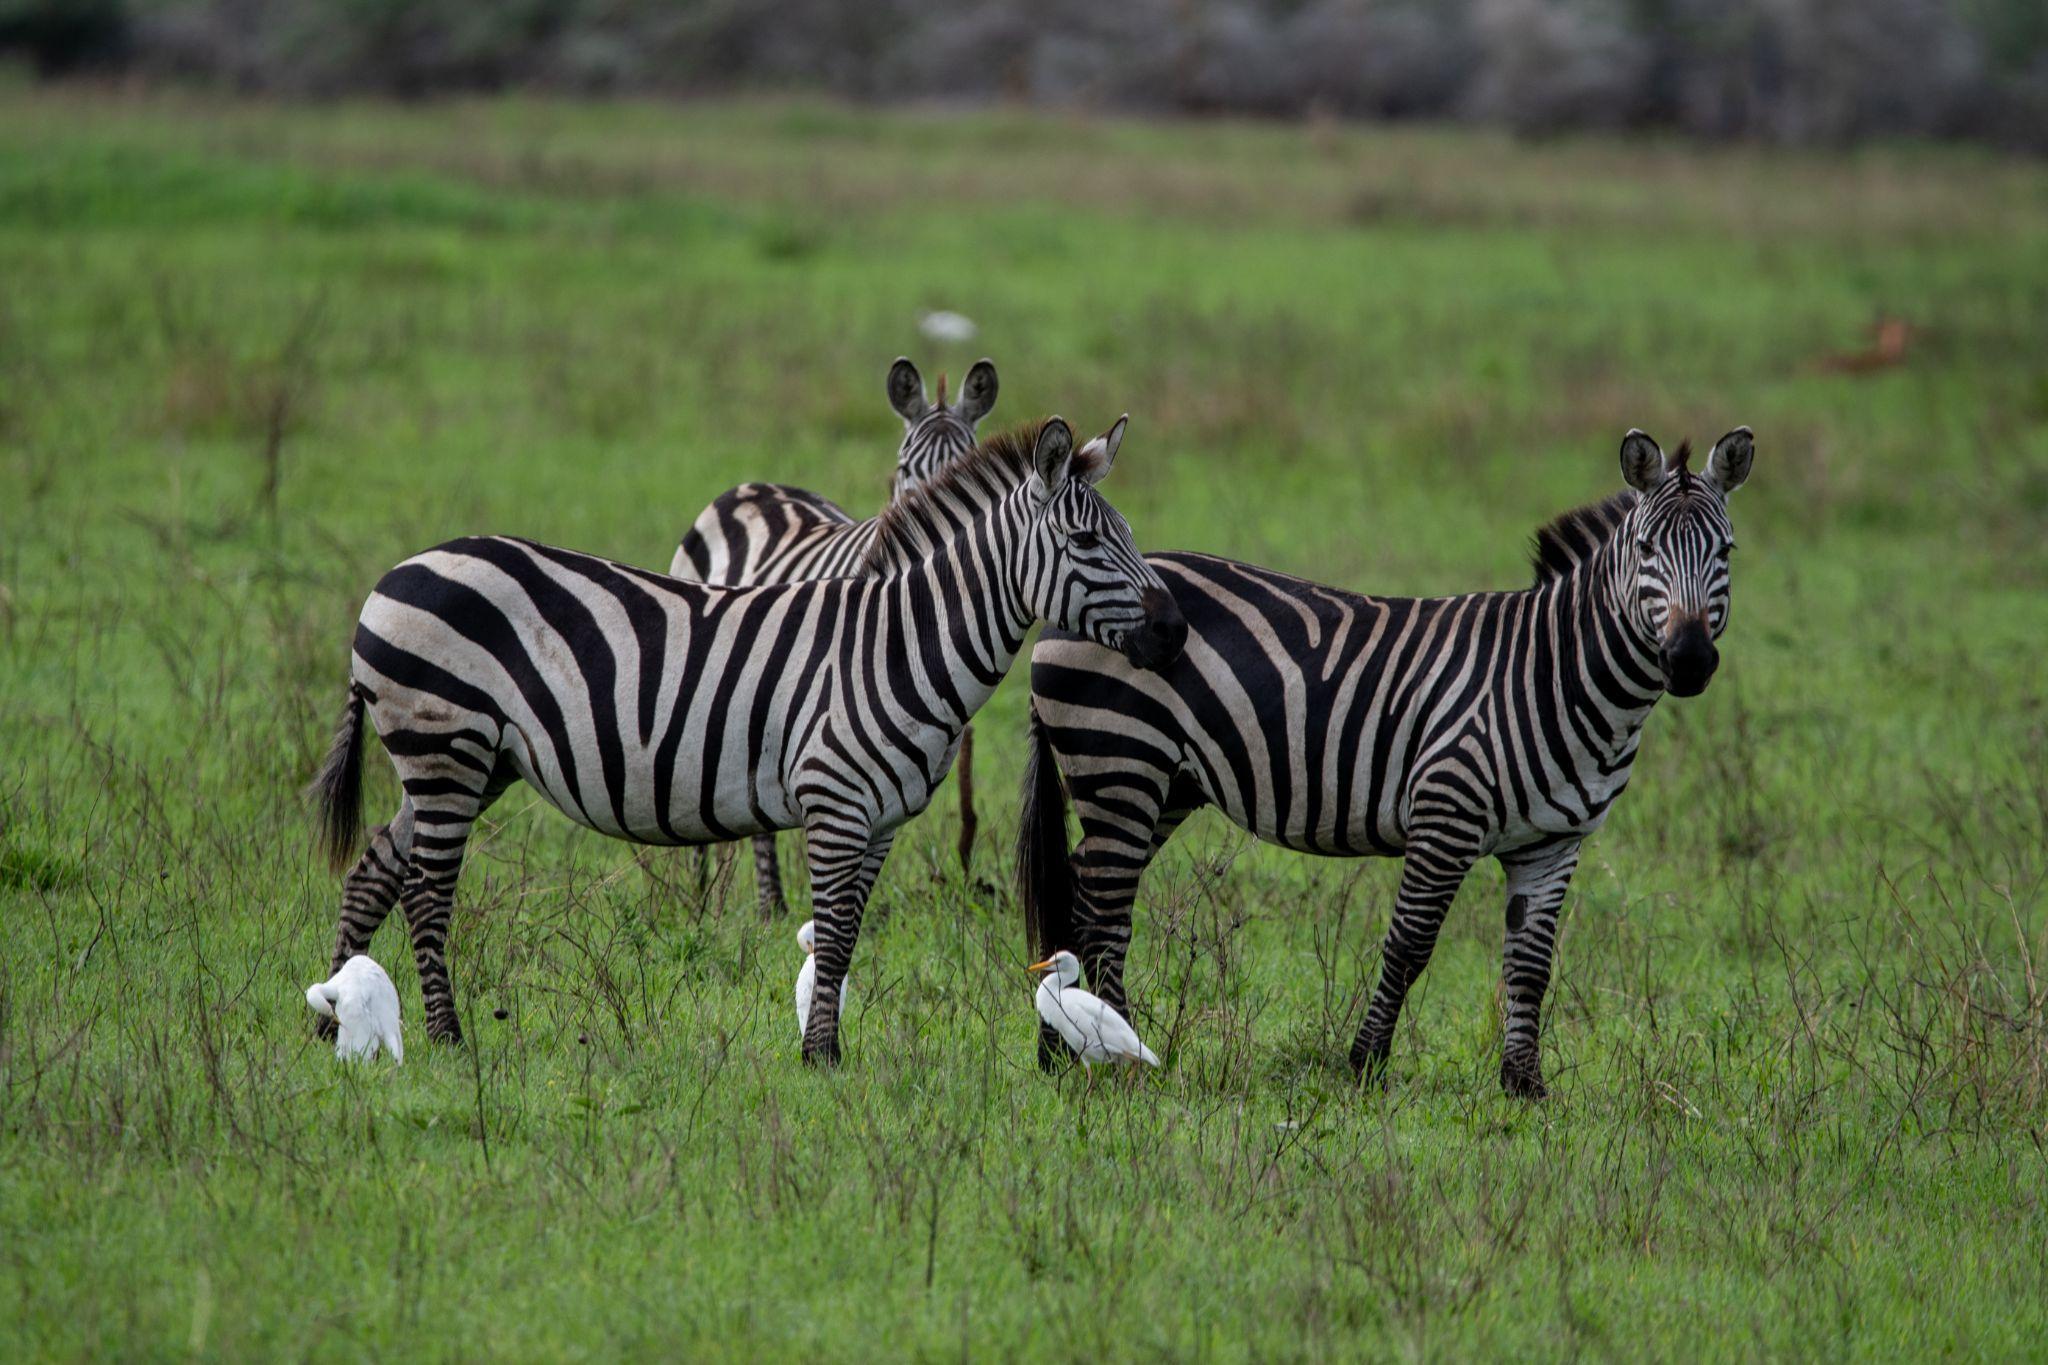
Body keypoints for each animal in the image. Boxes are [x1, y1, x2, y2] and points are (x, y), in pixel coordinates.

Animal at [310, 417, 1187, 1062]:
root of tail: (392, 576)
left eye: (1127, 532)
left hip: (472, 759)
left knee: (375, 870)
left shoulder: (882, 820)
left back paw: (327, 1018)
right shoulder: (835, 799)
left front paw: (823, 1045)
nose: (1176, 631)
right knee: (427, 889)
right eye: (1086, 543)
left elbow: (847, 935)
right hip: (443, 744)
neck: (900, 643)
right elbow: (831, 934)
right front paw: (821, 1055)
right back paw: (447, 1037)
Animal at [1018, 427, 1754, 1097]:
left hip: (1164, 784)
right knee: (1106, 909)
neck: (1554, 672)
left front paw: (1525, 1085)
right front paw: (1365, 1064)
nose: (1690, 660)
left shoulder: (1552, 843)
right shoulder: (1446, 812)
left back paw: (1059, 1053)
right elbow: (1409, 945)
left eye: (1726, 551)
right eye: (1646, 549)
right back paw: (1113, 1055)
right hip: (1122, 763)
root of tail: (1058, 609)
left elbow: (1530, 965)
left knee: (1082, 887)